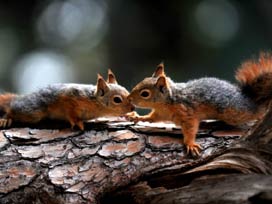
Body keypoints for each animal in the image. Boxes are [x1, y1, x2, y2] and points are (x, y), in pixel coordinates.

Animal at [0, 69, 135, 130]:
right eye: (117, 100)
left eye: (127, 91)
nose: (133, 107)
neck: (96, 102)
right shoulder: (71, 97)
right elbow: (70, 112)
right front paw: (77, 121)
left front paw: (131, 115)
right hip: (33, 111)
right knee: (12, 109)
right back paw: (5, 119)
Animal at [127, 53, 272, 155]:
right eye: (142, 80)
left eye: (145, 94)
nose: (129, 99)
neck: (166, 103)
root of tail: (248, 98)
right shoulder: (160, 114)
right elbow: (151, 118)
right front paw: (136, 117)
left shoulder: (187, 113)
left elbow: (190, 129)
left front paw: (190, 144)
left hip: (235, 113)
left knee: (256, 112)